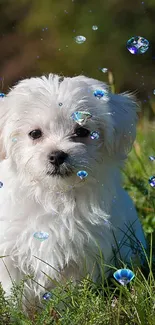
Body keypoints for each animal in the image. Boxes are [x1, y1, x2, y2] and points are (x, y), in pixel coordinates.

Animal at [0, 74, 145, 304]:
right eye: (34, 133)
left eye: (82, 131)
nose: (57, 155)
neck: (55, 195)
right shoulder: (11, 250)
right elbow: (16, 290)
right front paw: (17, 309)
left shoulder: (82, 252)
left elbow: (69, 290)